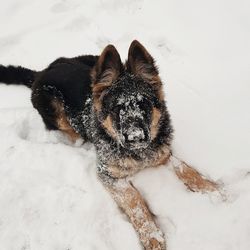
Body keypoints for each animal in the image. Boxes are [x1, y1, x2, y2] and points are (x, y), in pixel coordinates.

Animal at [0, 40, 219, 249]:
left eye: (144, 104)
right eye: (117, 108)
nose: (136, 137)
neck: (139, 154)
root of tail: (42, 72)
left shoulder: (161, 153)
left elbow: (185, 169)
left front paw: (214, 190)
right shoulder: (108, 174)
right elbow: (134, 200)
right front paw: (152, 235)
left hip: (95, 60)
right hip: (52, 103)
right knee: (66, 128)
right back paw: (79, 139)